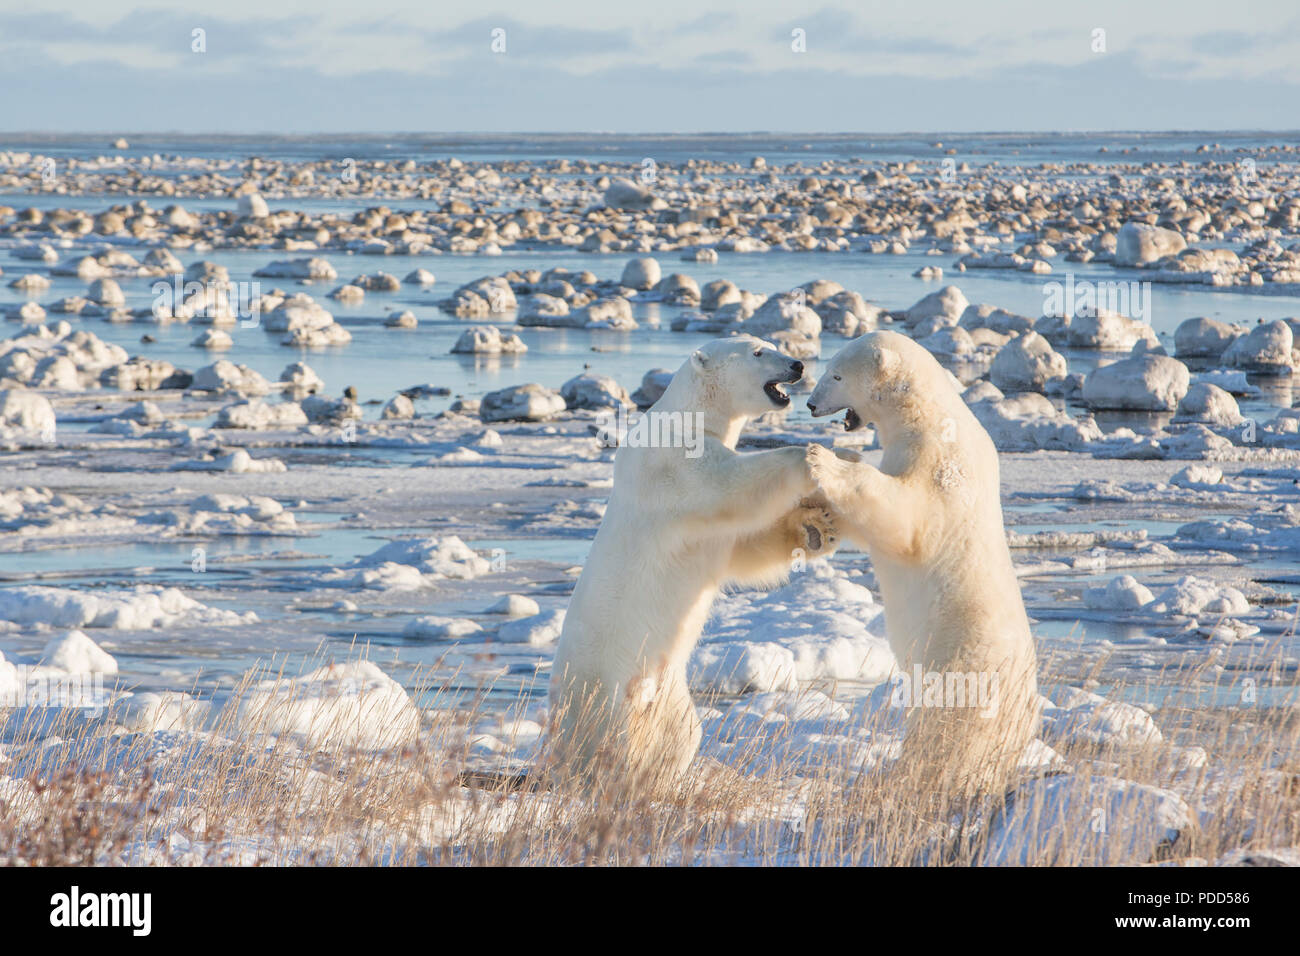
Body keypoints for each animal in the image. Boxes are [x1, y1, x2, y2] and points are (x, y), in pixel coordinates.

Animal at [546, 335, 832, 790]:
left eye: (772, 343)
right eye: (757, 351)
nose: (797, 365)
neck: (687, 417)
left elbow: (745, 547)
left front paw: (815, 526)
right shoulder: (672, 463)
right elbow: (727, 484)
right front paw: (812, 457)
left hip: (669, 693)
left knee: (681, 732)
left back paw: (663, 778)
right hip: (604, 685)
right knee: (613, 734)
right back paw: (613, 777)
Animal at [806, 332, 1040, 796]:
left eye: (836, 374)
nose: (809, 404)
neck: (930, 414)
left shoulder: (939, 467)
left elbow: (902, 517)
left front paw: (825, 460)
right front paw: (822, 522)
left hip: (962, 663)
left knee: (947, 731)